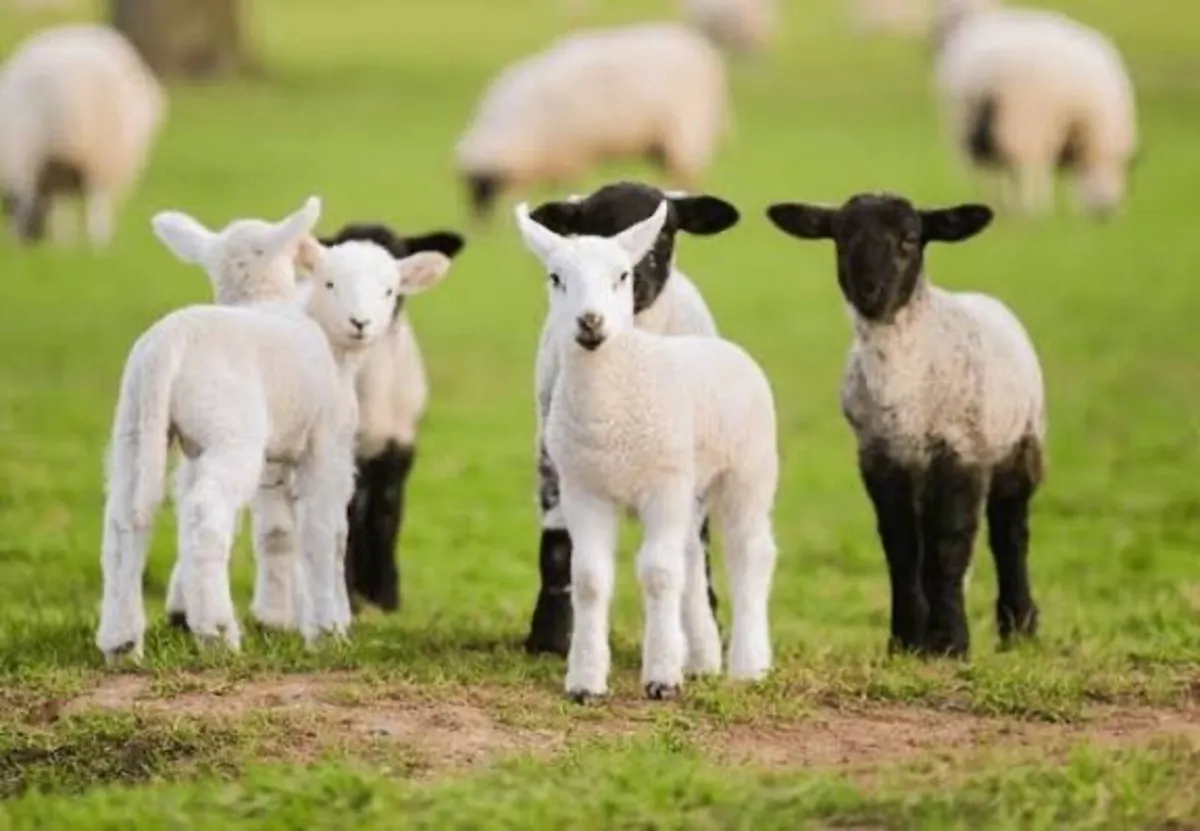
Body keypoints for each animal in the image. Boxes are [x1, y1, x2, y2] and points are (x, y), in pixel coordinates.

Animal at [315, 222, 467, 613]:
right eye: (335, 279)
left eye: (393, 284)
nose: (361, 321)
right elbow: (348, 515)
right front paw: (350, 594)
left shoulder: (400, 445)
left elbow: (387, 510)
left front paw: (385, 594)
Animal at [454, 23, 728, 222]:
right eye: (470, 188)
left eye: (489, 186)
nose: (480, 225)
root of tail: (697, 46)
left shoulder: (569, 154)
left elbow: (569, 184)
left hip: (687, 129)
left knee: (684, 173)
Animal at [514, 198, 780, 701]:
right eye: (555, 277)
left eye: (622, 275)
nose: (590, 321)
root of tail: (727, 348)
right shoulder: (585, 490)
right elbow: (590, 579)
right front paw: (585, 682)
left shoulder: (662, 486)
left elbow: (657, 574)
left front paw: (661, 679)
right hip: (691, 489)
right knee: (692, 558)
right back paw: (702, 659)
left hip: (748, 472)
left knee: (749, 553)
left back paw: (749, 664)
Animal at [765, 191, 1044, 658]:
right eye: (842, 238)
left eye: (910, 239)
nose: (870, 292)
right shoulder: (880, 457)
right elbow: (900, 546)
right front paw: (906, 642)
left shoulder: (960, 452)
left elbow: (949, 544)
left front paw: (950, 644)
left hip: (1022, 442)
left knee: (1009, 532)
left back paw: (1019, 629)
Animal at [931, 0, 1138, 219]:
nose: (1105, 213)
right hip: (1022, 121)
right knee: (1024, 167)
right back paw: (1032, 208)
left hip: (978, 119)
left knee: (990, 167)